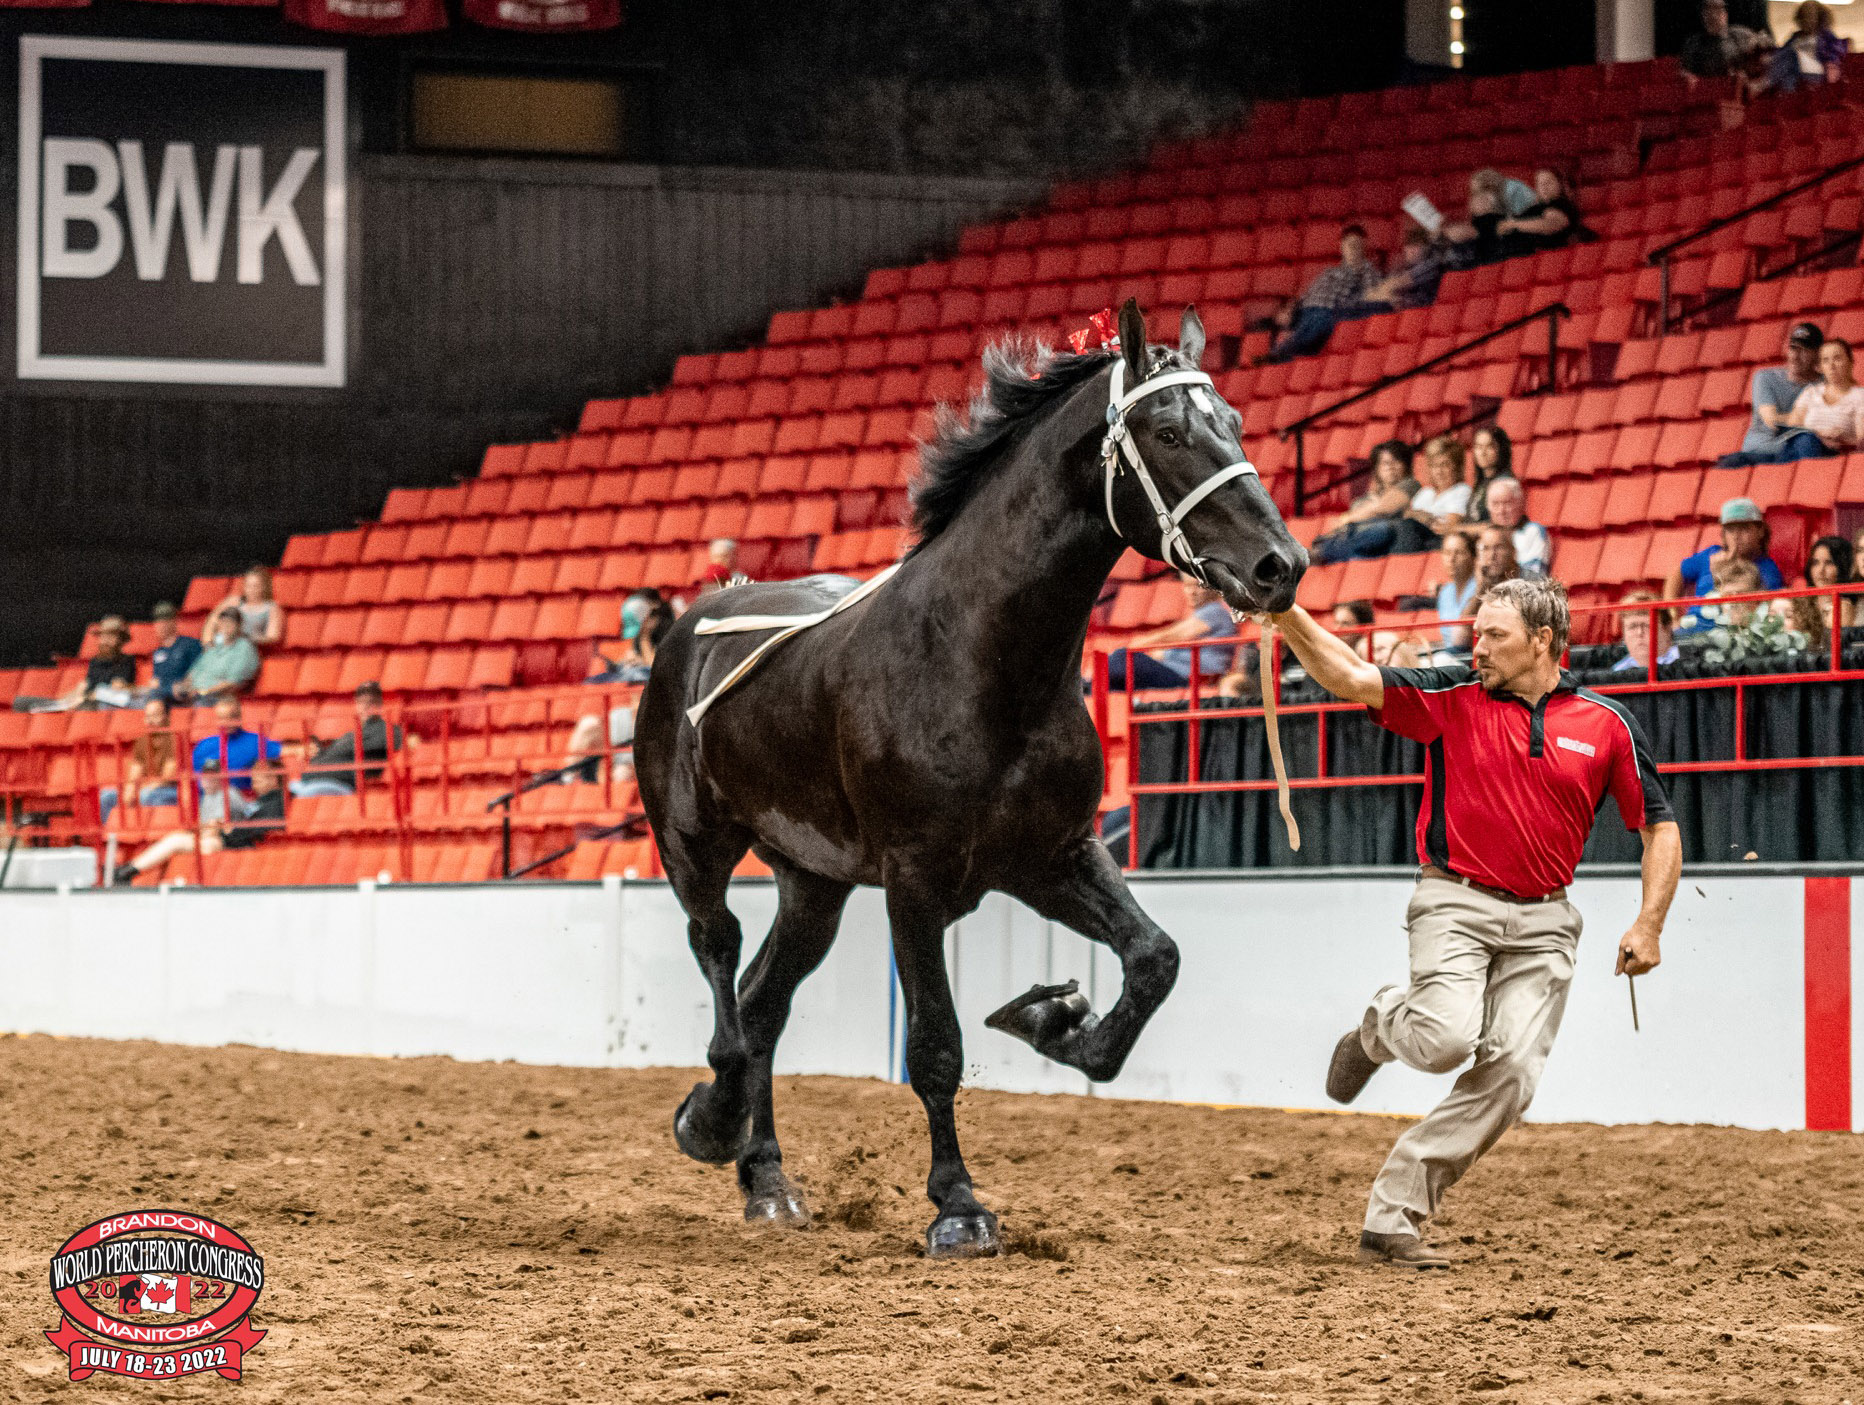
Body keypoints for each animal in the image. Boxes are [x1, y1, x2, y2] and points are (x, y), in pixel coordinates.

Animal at [633, 301, 1304, 1252]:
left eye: (1236, 423)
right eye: (1170, 432)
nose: (1281, 566)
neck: (980, 659)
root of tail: (699, 615)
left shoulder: (1051, 856)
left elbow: (1153, 959)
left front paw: (1053, 1020)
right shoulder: (913, 879)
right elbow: (937, 1045)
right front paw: (958, 1205)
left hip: (813, 883)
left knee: (764, 1004)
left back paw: (766, 1179)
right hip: (693, 845)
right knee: (721, 958)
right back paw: (713, 1117)